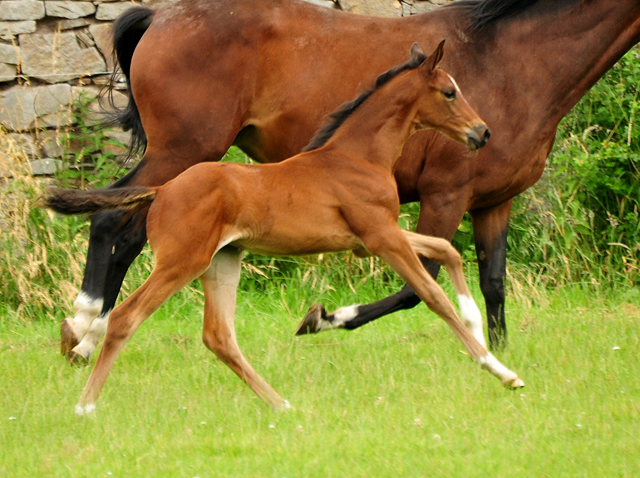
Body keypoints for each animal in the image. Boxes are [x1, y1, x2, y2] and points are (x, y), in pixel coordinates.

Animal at [43, 43, 520, 412]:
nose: (483, 132)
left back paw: (280, 403)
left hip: (223, 261)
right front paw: (501, 370)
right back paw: (85, 404)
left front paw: (478, 323)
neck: (357, 156)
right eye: (450, 92)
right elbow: (432, 295)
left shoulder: (370, 239)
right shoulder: (382, 238)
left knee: (219, 336)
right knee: (126, 316)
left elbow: (446, 249)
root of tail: (161, 190)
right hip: (181, 262)